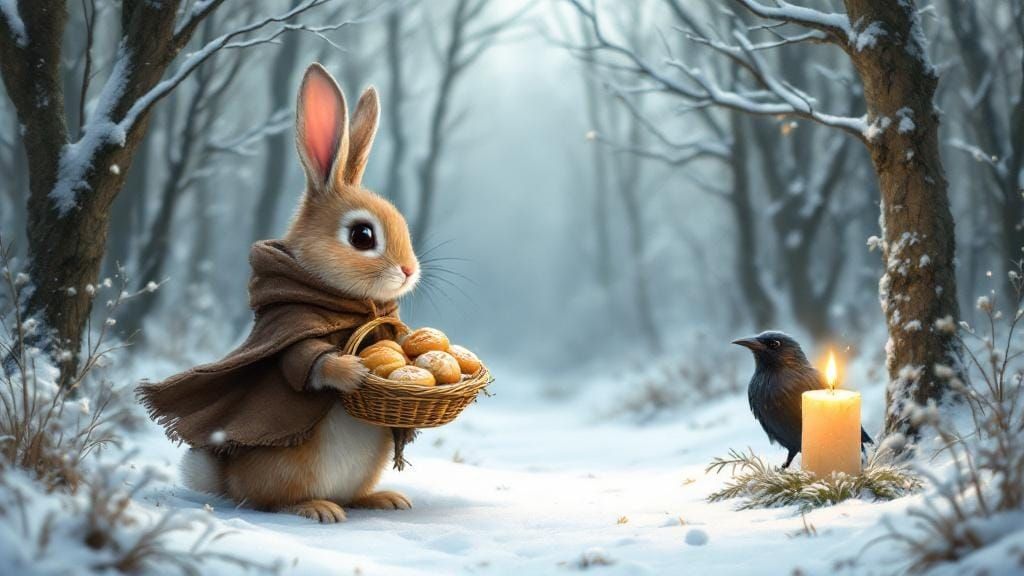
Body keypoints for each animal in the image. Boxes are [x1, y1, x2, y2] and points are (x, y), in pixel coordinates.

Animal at [180, 63, 420, 523]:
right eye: (362, 236)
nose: (409, 270)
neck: (347, 305)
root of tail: (228, 482)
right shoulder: (290, 326)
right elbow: (302, 361)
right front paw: (353, 372)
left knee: (350, 495)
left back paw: (383, 499)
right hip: (284, 469)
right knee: (271, 501)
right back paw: (317, 508)